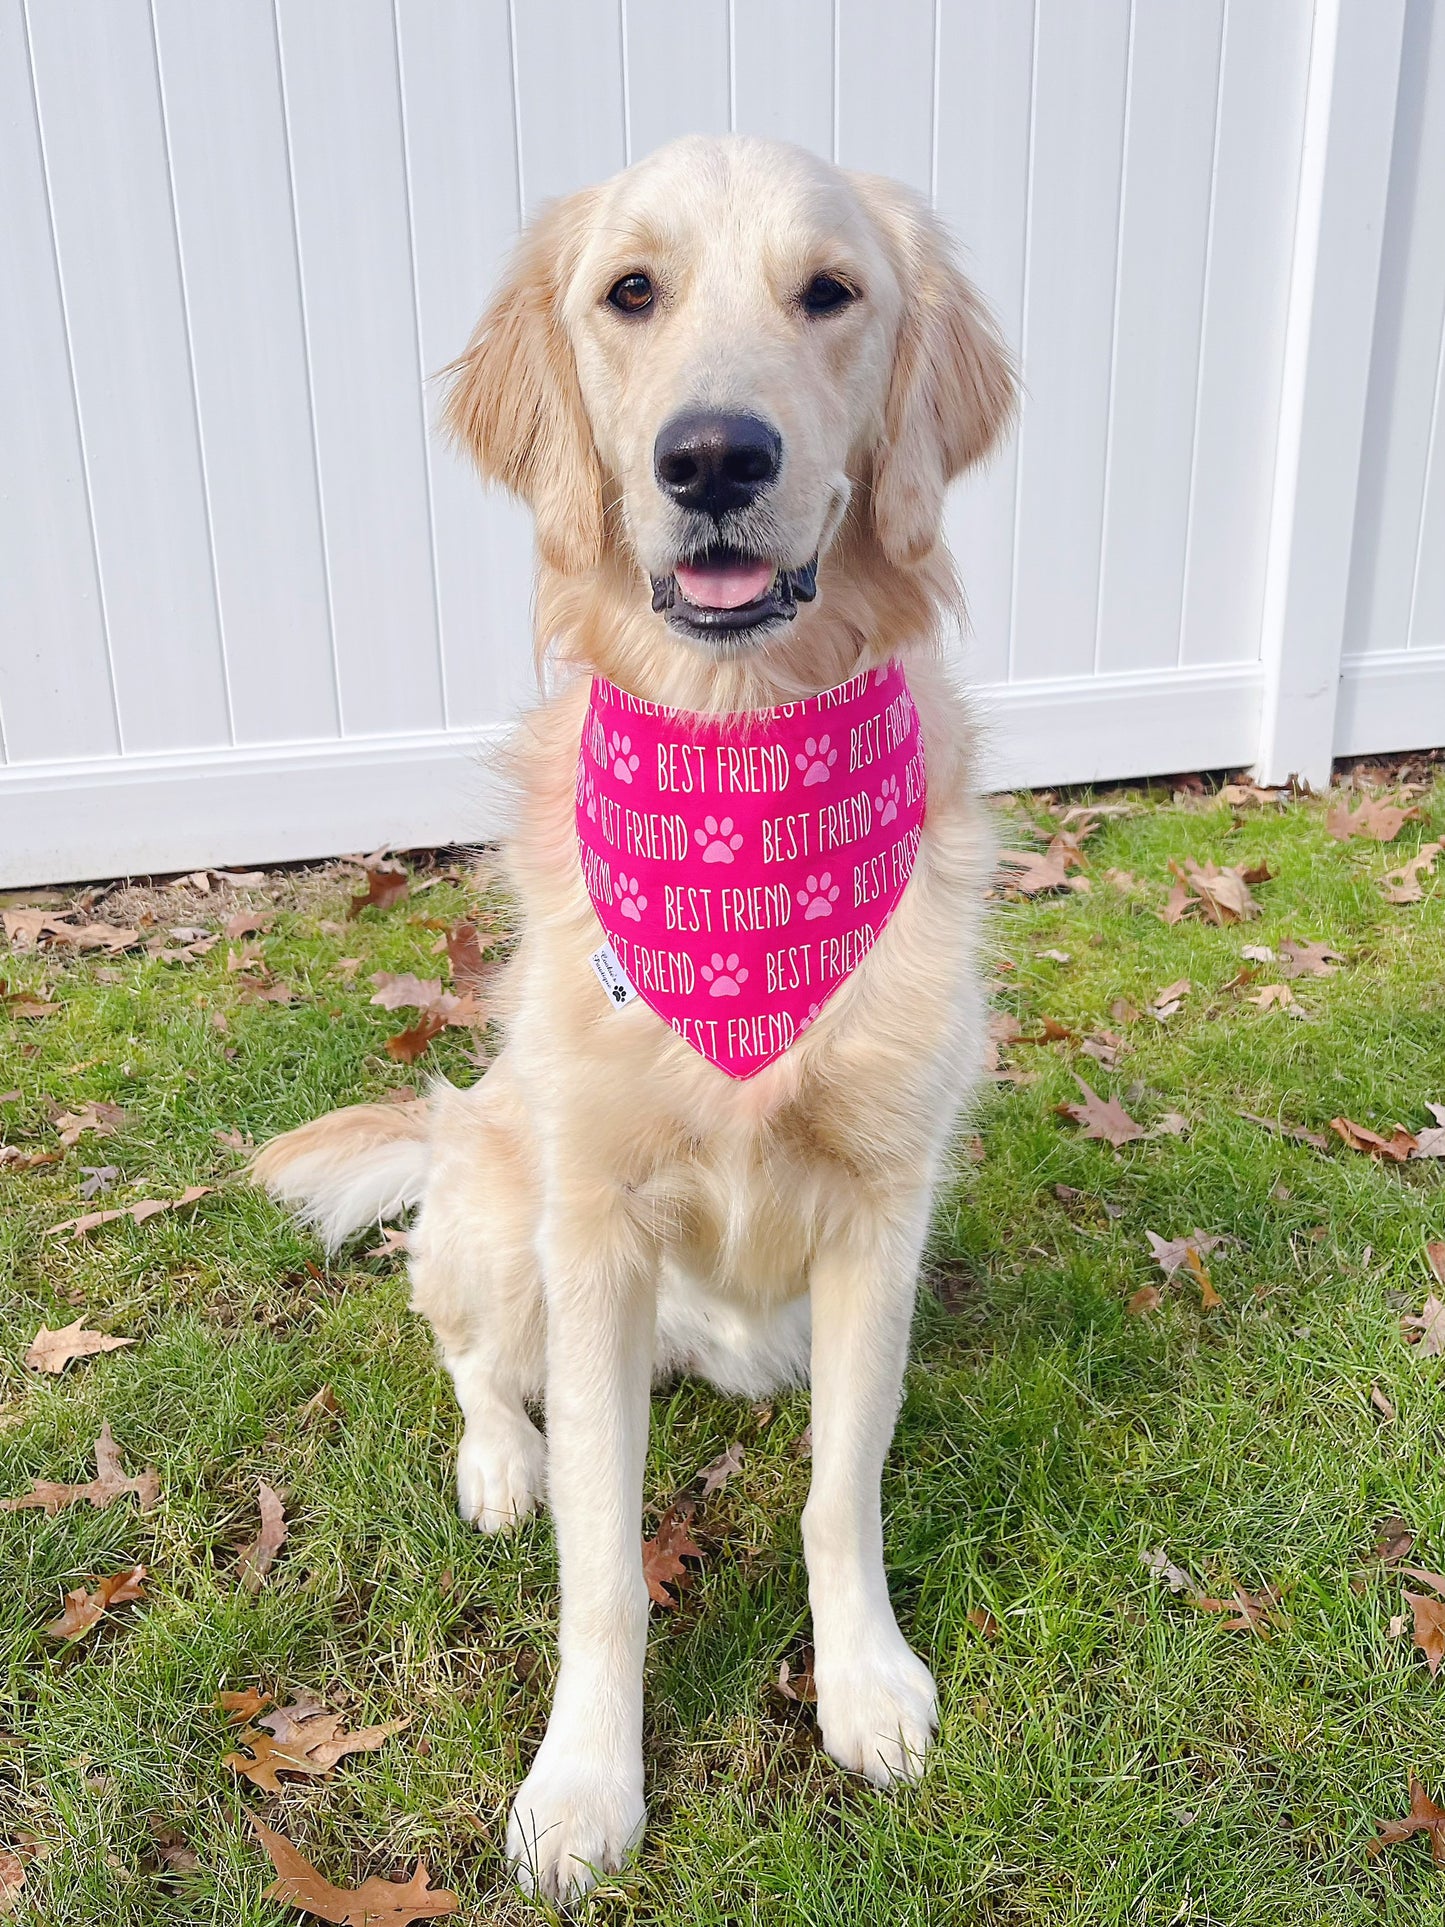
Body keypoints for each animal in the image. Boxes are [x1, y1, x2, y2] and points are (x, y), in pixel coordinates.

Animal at [252, 131, 1017, 1896]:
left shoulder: (880, 1214)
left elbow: (840, 1495)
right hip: (494, 1199)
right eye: (630, 293)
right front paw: (583, 1783)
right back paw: (499, 1459)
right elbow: (601, 1561)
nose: (714, 455)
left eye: (830, 292)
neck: (736, 752)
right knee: (464, 1349)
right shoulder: (592, 1226)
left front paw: (864, 1684)